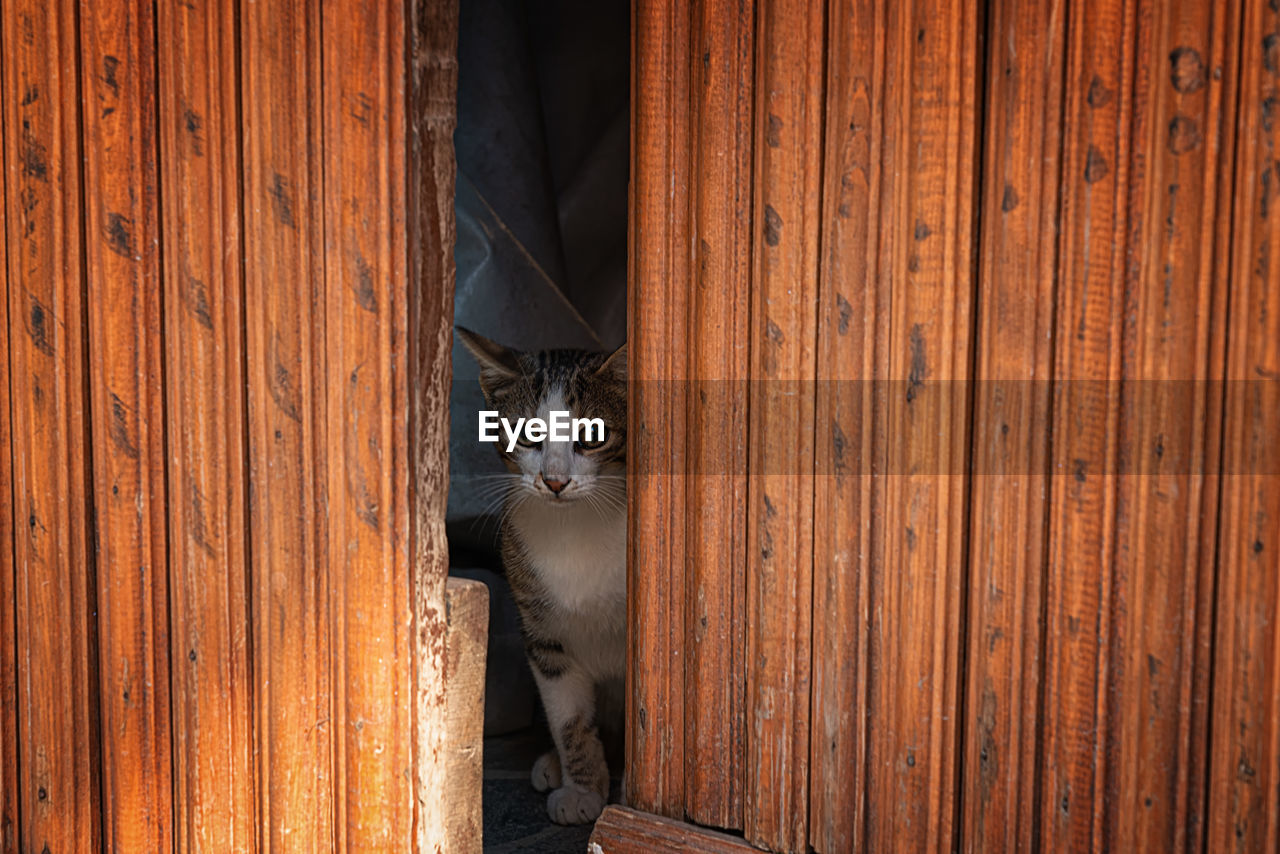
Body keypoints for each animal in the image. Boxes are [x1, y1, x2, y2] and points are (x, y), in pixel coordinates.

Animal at [458, 323, 627, 824]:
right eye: (527, 436)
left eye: (593, 436)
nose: (554, 481)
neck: (576, 525)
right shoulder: (545, 636)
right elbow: (569, 718)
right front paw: (582, 787)